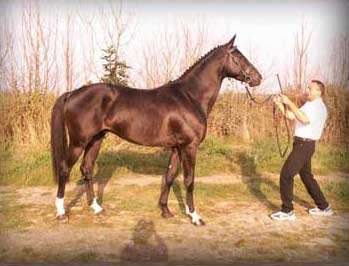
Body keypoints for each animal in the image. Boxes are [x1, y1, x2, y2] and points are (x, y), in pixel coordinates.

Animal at [50, 34, 260, 224]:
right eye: (239, 57)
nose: (258, 78)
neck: (190, 96)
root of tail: (72, 93)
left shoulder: (176, 148)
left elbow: (169, 177)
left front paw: (165, 211)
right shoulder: (190, 147)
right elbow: (189, 180)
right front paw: (194, 216)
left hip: (96, 139)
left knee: (86, 168)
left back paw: (96, 208)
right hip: (78, 142)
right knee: (64, 168)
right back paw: (61, 213)